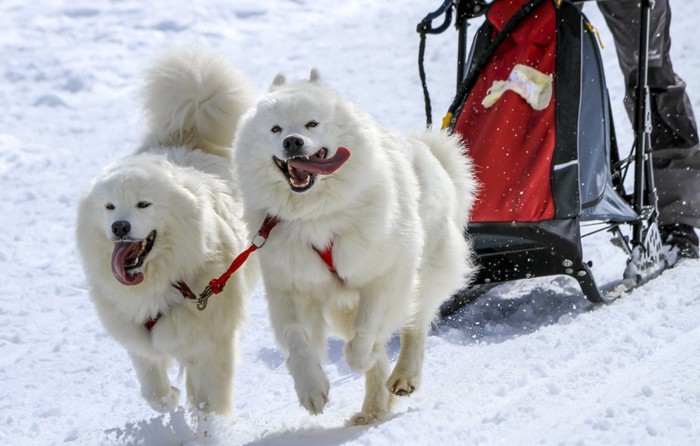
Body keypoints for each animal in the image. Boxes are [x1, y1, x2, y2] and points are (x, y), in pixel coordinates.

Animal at [77, 48, 258, 414]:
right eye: (110, 207)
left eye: (144, 204)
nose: (120, 226)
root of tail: (188, 130)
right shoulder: (138, 338)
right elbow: (152, 389)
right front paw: (169, 398)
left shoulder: (212, 343)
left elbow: (209, 401)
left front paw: (209, 423)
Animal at [232, 70, 478, 426]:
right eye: (275, 129)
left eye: (311, 124)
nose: (292, 141)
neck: (315, 216)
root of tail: (431, 152)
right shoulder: (291, 288)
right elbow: (297, 339)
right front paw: (311, 389)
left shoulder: (386, 274)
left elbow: (367, 330)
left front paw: (359, 356)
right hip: (340, 306)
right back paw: (373, 409)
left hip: (425, 272)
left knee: (415, 326)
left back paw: (403, 377)